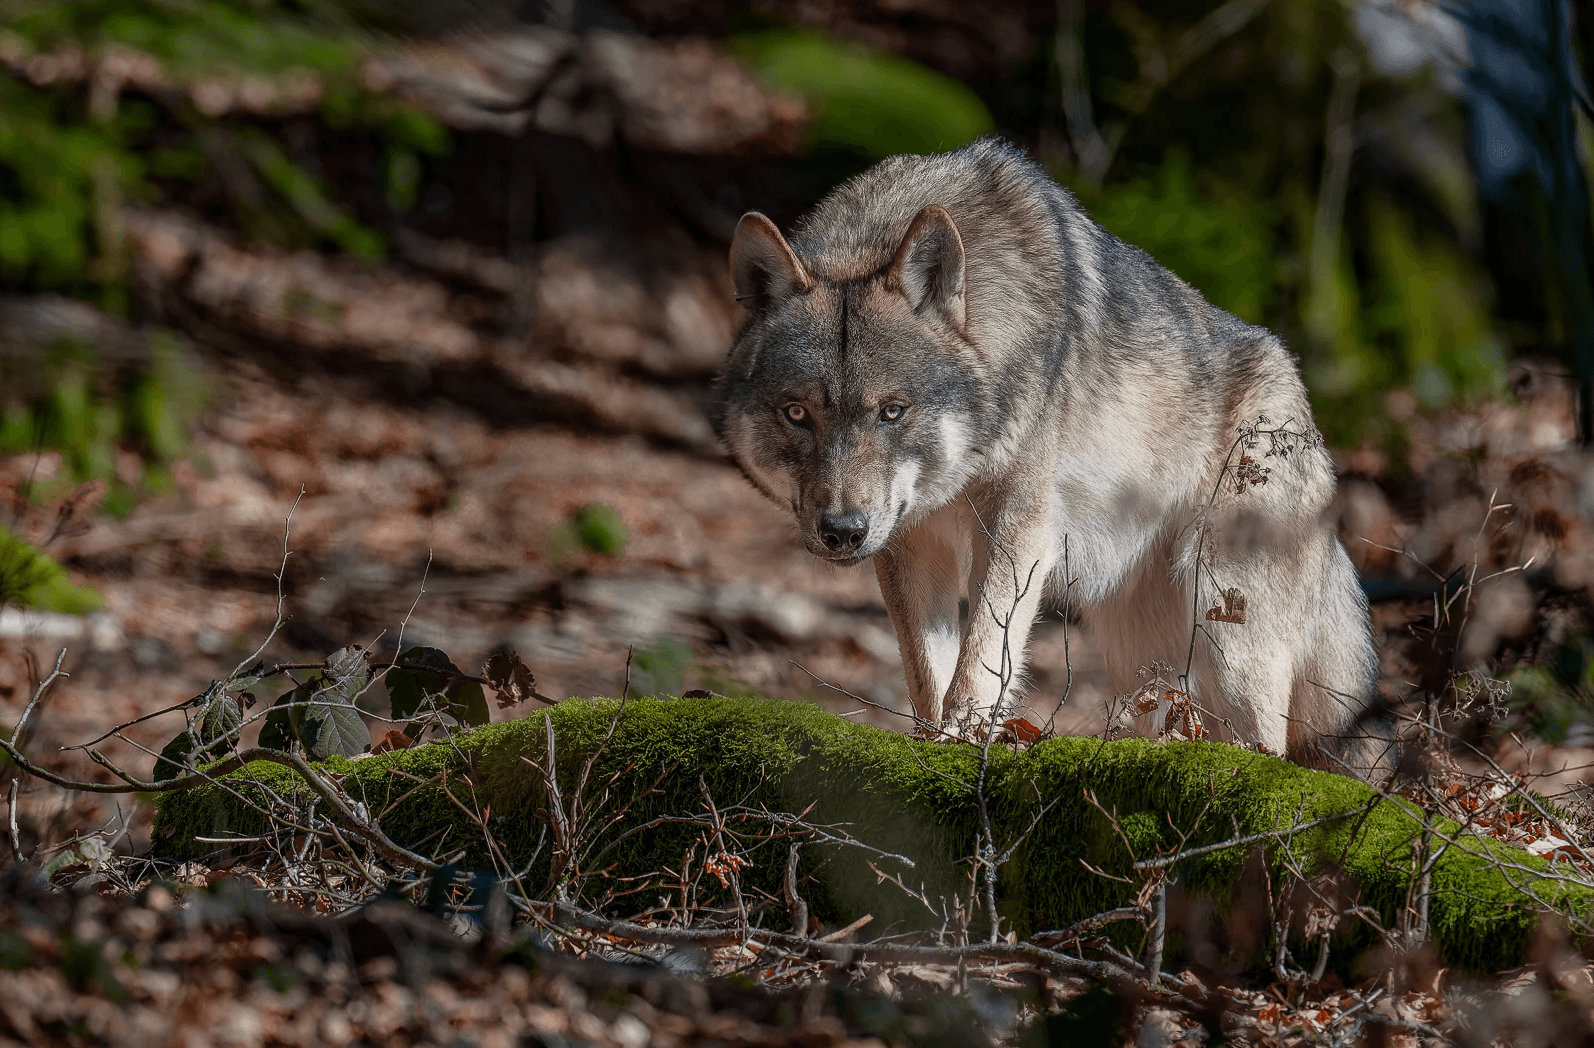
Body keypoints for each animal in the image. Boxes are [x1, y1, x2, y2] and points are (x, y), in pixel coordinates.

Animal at [715, 138, 1382, 770]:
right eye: (797, 414)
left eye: (892, 411)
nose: (842, 531)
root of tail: (1298, 392)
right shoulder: (911, 542)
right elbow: (929, 670)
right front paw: (933, 744)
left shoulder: (1018, 521)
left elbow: (980, 658)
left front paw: (964, 744)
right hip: (1149, 661)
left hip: (1227, 622)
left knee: (1269, 744)